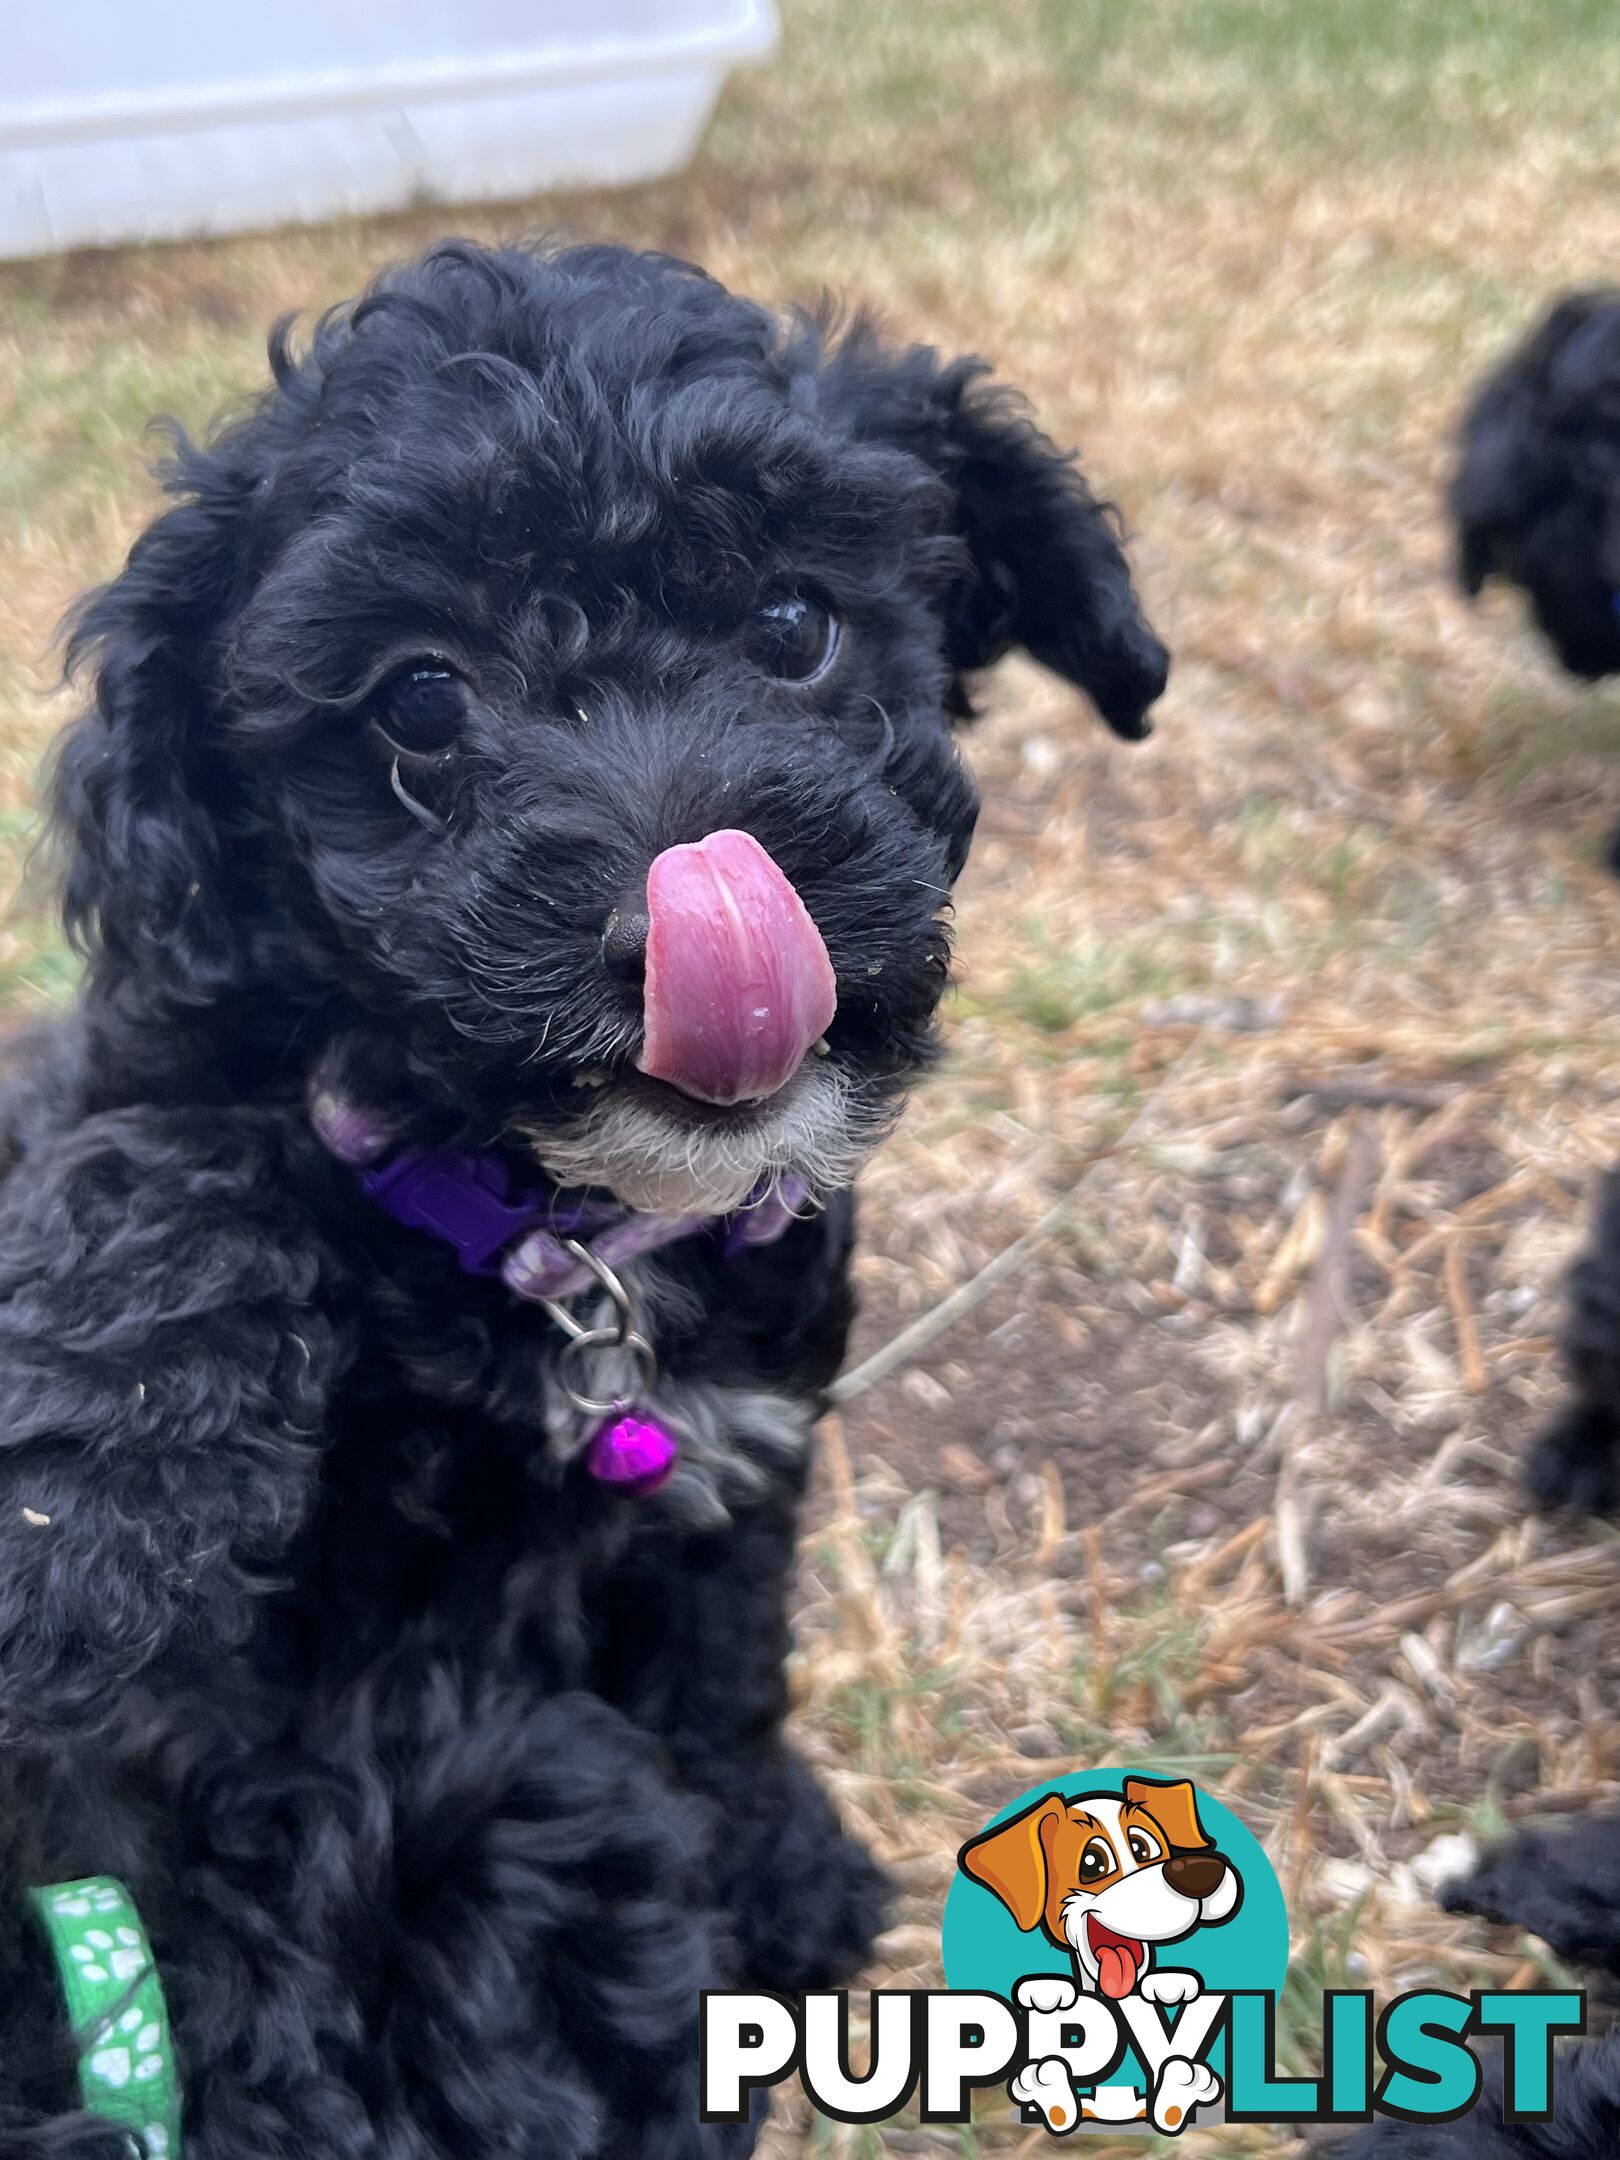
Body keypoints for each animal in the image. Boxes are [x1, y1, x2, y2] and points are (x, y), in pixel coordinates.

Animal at [0, 240, 1175, 2160]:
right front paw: (87, 1517)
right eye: (419, 702)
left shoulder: (736, 1475)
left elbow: (722, 1679)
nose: (677, 916)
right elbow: (193, 1138)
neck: (566, 1241)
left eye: (794, 627)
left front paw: (769, 1863)